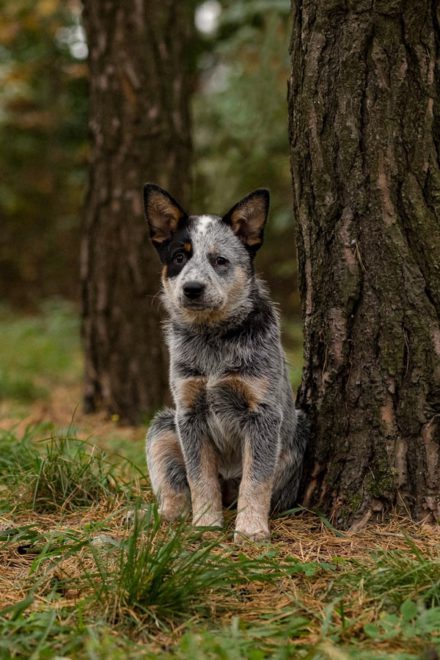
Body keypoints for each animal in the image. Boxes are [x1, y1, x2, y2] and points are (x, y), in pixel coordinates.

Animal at [143, 182, 308, 540]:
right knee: (175, 490)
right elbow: (199, 478)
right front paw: (206, 526)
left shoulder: (263, 413)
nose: (192, 288)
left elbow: (256, 480)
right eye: (179, 256)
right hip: (163, 426)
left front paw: (251, 531)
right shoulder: (188, 412)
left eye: (220, 260)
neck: (213, 341)